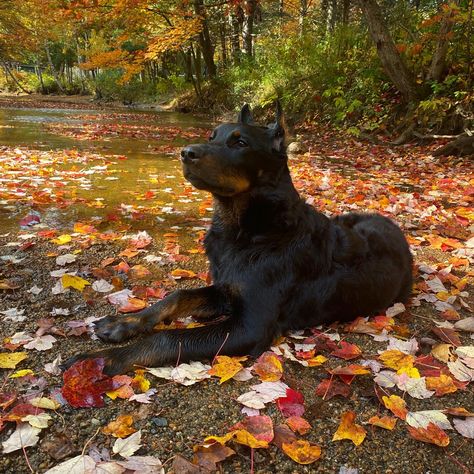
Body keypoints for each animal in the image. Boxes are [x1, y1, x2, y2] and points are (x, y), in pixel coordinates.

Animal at [65, 103, 412, 374]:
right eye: (212, 136)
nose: (185, 153)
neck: (249, 230)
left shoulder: (250, 325)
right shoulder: (226, 285)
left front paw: (102, 360)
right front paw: (123, 323)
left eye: (240, 142)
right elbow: (176, 296)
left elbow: (169, 337)